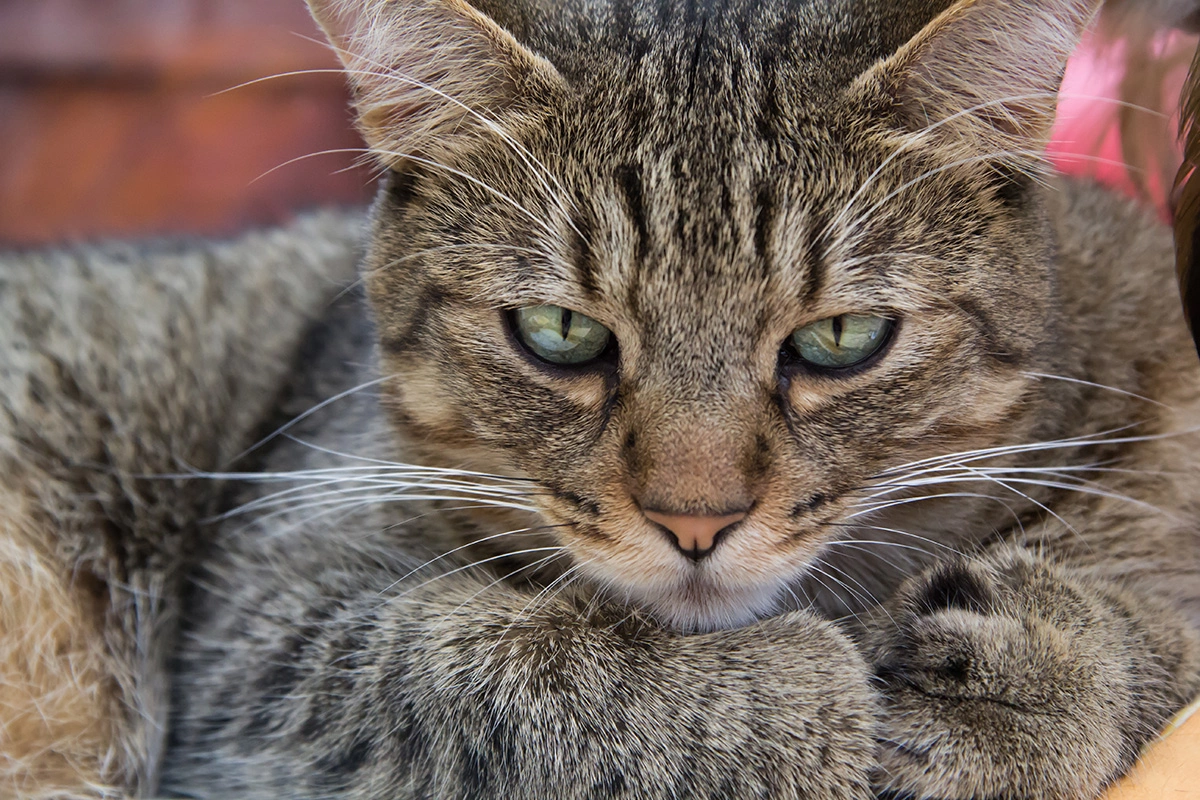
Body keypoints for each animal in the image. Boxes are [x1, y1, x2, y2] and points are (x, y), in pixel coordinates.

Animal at [2, 0, 1200, 796]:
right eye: (562, 333)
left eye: (840, 340)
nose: (696, 521)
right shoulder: (268, 624)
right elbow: (502, 670)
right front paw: (797, 687)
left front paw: (1047, 668)